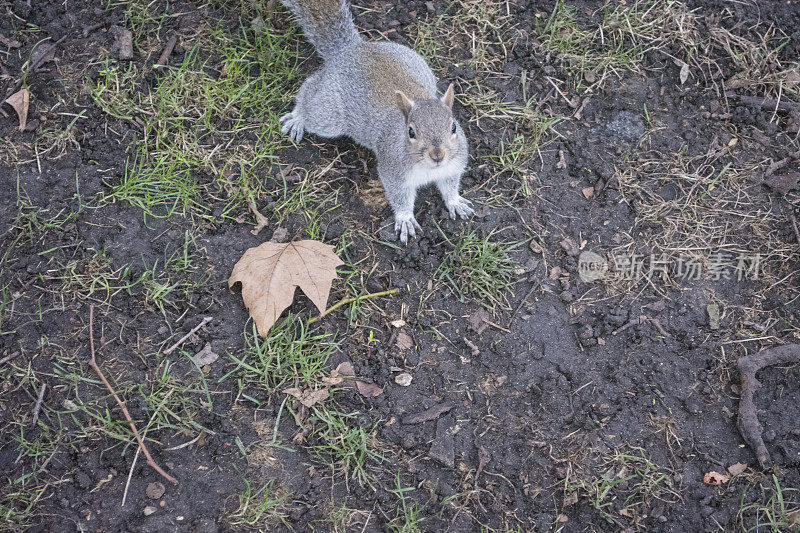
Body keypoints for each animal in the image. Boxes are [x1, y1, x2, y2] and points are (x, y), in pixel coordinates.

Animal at [278, 0, 472, 242]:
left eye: (453, 126)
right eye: (411, 132)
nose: (438, 155)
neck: (429, 168)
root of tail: (353, 48)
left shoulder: (453, 167)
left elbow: (450, 186)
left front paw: (455, 202)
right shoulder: (393, 171)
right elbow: (399, 197)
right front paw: (405, 218)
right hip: (329, 115)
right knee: (311, 92)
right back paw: (298, 117)